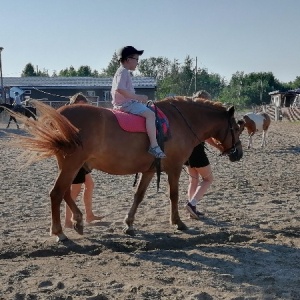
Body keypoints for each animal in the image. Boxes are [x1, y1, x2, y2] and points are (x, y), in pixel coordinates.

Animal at [10, 97, 244, 243]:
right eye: (236, 128)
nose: (239, 153)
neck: (178, 122)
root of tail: (62, 114)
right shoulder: (175, 168)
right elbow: (174, 195)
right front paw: (178, 222)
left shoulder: (150, 170)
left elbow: (138, 196)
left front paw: (129, 223)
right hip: (71, 165)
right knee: (57, 193)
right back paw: (59, 232)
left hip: (70, 166)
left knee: (65, 192)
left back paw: (77, 220)